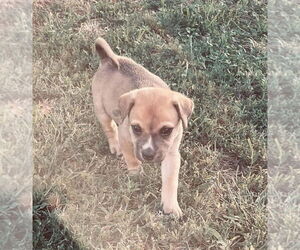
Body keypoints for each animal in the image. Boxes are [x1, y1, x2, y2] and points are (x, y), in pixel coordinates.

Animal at [92, 37, 195, 217]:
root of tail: (109, 60)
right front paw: (136, 174)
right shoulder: (126, 139)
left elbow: (170, 181)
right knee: (110, 129)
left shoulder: (171, 153)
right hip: (101, 111)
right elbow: (132, 158)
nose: (148, 154)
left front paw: (170, 206)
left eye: (166, 130)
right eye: (136, 128)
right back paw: (115, 146)